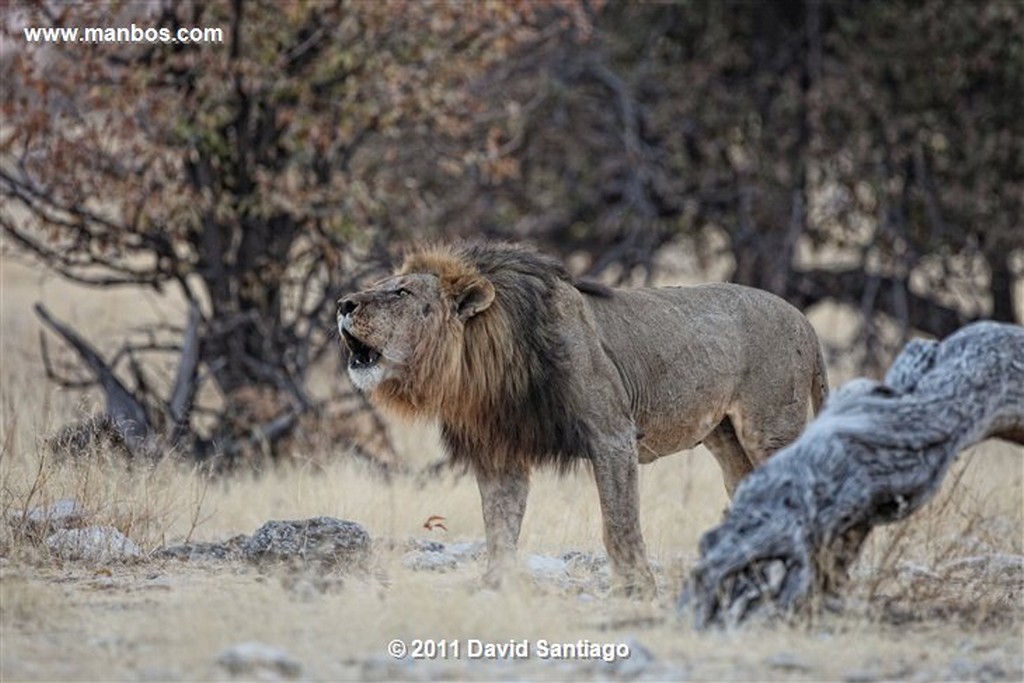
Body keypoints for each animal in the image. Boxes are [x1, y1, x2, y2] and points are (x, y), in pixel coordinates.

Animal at [339, 242, 827, 593]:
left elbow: (619, 522)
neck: (484, 365)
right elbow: (499, 525)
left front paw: (635, 589)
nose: (343, 304)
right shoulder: (499, 453)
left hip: (768, 427)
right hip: (726, 437)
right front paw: (494, 584)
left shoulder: (612, 434)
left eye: (401, 292)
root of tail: (803, 319)